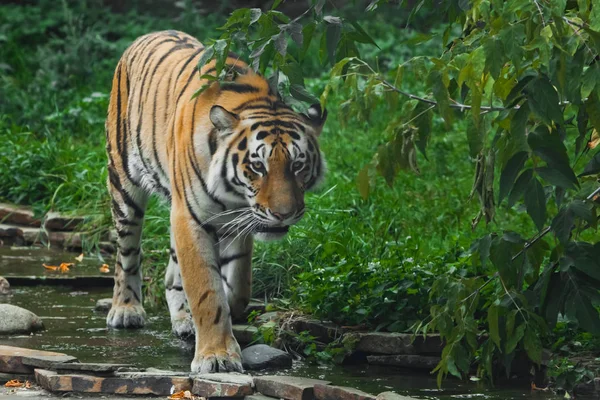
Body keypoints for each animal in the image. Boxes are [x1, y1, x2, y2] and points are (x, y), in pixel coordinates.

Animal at [104, 29, 328, 374]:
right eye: (258, 166)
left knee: (172, 272)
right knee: (127, 253)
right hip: (124, 184)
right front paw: (217, 356)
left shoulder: (238, 221)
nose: (283, 214)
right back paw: (126, 310)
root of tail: (149, 34)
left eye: (298, 165)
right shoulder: (192, 218)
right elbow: (207, 291)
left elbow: (237, 286)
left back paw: (183, 319)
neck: (233, 196)